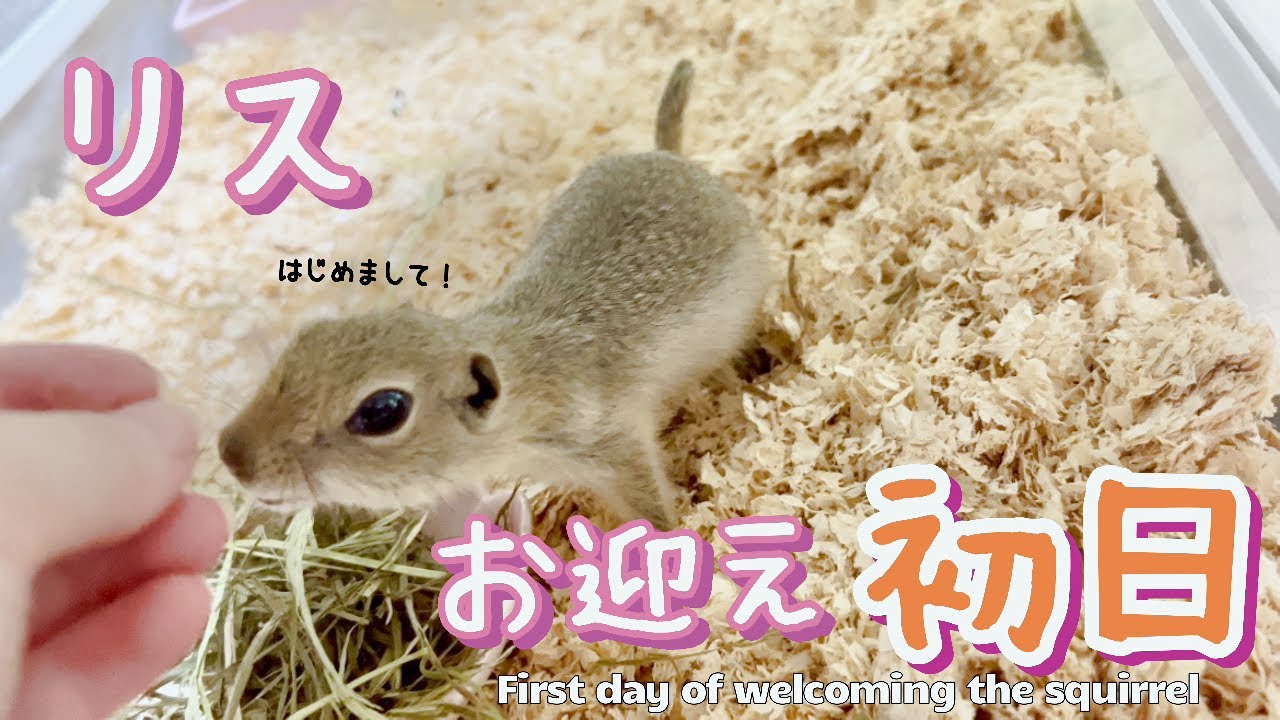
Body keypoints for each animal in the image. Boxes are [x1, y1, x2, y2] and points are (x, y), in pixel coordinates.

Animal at [217, 60, 770, 531]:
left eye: (382, 411)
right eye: (306, 337)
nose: (231, 454)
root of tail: (669, 154)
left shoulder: (613, 444)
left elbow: (651, 504)